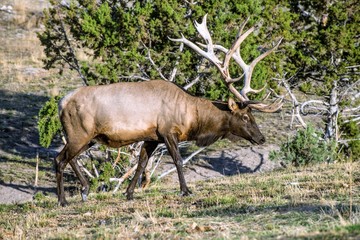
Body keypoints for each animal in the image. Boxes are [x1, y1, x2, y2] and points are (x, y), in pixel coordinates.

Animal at [55, 14, 282, 205]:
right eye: (245, 116)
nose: (261, 138)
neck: (193, 118)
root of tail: (61, 103)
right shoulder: (168, 131)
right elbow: (178, 160)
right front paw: (185, 190)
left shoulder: (151, 137)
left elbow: (141, 164)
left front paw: (129, 193)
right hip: (80, 133)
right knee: (59, 159)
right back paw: (64, 199)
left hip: (90, 137)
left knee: (68, 157)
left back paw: (84, 189)